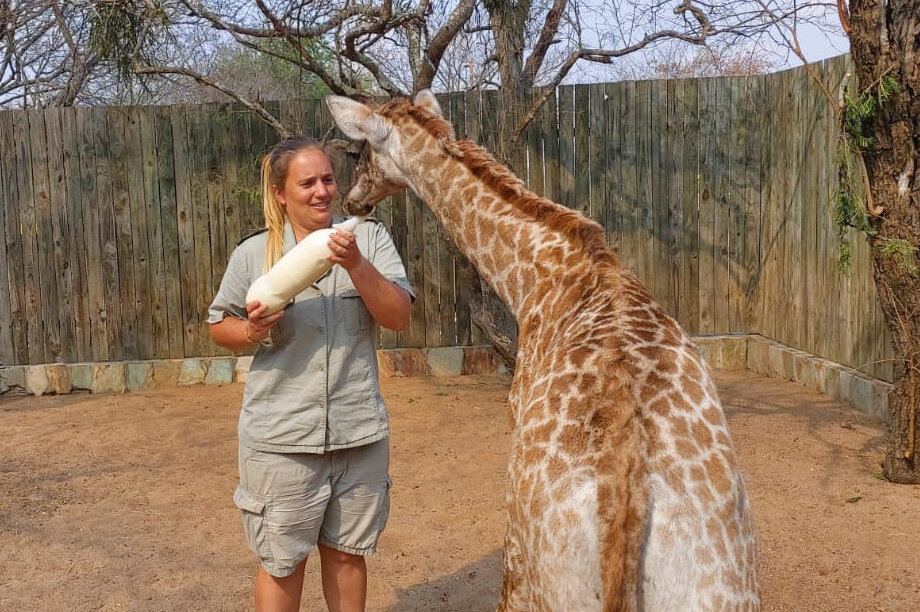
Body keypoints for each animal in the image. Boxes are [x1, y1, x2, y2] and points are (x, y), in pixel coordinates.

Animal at [327, 91, 760, 611]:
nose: (351, 200)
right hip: (723, 588)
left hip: (545, 572)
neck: (540, 276)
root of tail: (626, 500)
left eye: (360, 154)